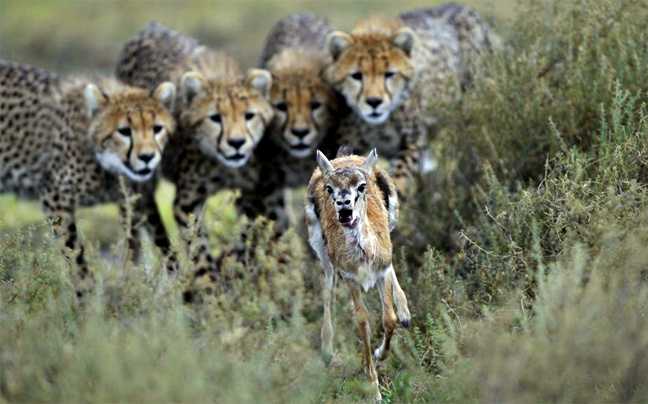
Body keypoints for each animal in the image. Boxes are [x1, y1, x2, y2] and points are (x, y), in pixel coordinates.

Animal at [0, 60, 175, 288]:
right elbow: (74, 254)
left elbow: (163, 242)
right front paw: (87, 293)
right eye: (124, 131)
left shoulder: (139, 197)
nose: (147, 157)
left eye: (157, 128)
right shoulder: (54, 197)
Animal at [116, 22, 274, 288]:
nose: (237, 143)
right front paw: (210, 289)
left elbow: (250, 233)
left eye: (249, 116)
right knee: (143, 226)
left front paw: (240, 268)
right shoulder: (187, 203)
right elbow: (198, 249)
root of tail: (151, 26)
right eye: (215, 118)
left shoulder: (255, 192)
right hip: (140, 179)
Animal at [326, 3, 498, 199]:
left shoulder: (413, 140)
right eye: (356, 75)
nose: (374, 102)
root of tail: (461, 6)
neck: (376, 125)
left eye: (390, 74)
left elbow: (400, 175)